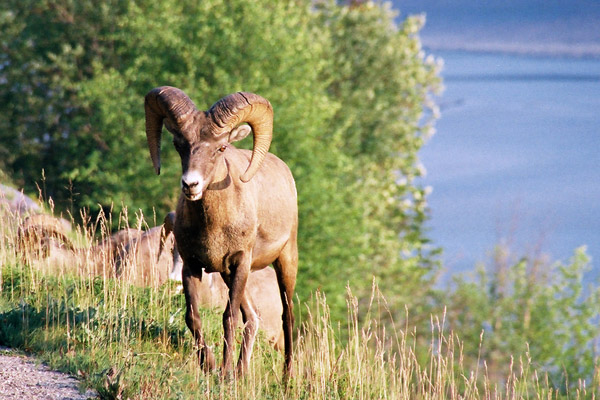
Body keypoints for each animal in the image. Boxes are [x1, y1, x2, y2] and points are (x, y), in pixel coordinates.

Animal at [144, 86, 298, 376]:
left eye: (221, 147)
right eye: (179, 145)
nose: (190, 184)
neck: (213, 226)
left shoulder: (240, 263)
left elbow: (229, 317)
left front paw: (224, 374)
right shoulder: (192, 266)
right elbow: (193, 317)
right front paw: (210, 366)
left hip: (284, 263)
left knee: (287, 317)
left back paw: (285, 378)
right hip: (229, 275)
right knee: (253, 317)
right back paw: (241, 373)